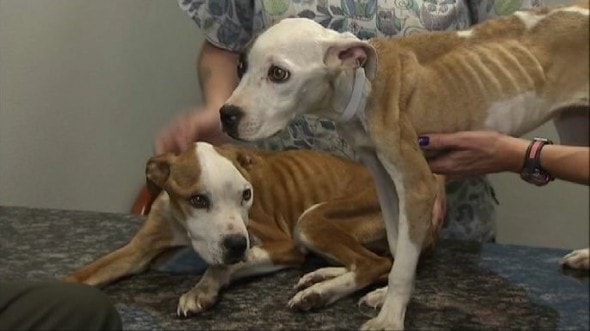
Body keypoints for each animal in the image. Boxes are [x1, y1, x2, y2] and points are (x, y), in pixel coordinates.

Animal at [66, 143, 444, 320]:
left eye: (247, 194)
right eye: (197, 199)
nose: (236, 244)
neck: (184, 228)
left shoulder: (282, 245)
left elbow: (223, 265)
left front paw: (201, 290)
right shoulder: (137, 251)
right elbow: (83, 275)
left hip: (309, 220)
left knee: (372, 264)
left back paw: (318, 294)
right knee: (374, 262)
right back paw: (319, 277)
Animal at [219, 1, 590, 330]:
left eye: (278, 74)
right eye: (240, 67)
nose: (226, 115)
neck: (362, 86)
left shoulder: (418, 186)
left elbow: (401, 264)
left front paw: (389, 320)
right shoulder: (386, 182)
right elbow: (400, 250)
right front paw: (387, 298)